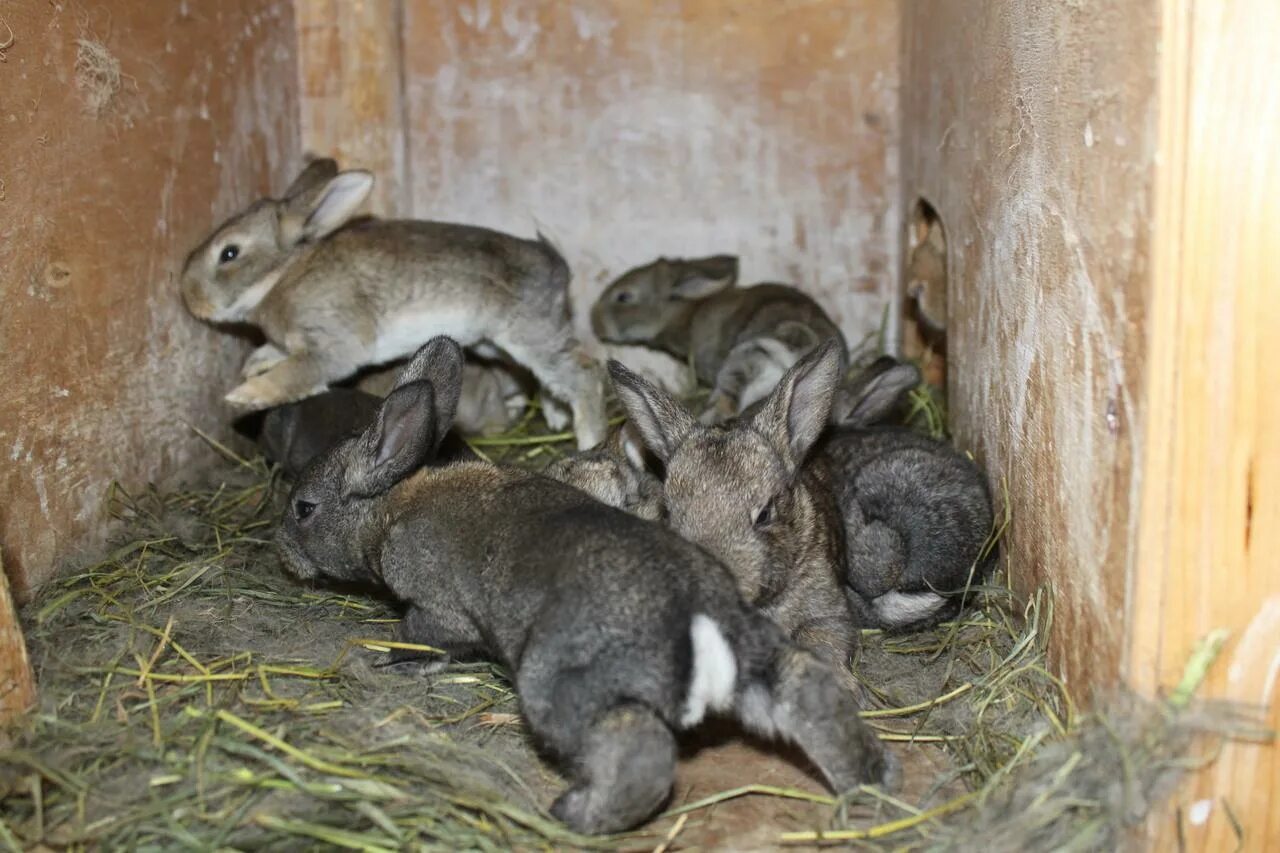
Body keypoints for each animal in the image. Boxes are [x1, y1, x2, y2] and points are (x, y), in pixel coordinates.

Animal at [179, 158, 609, 450]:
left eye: (229, 253)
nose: (187, 295)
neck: (282, 275)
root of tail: (557, 265)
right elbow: (278, 354)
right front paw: (254, 363)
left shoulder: (331, 345)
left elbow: (297, 374)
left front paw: (243, 395)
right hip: (495, 343)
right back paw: (555, 417)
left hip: (527, 332)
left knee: (584, 375)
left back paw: (588, 441)